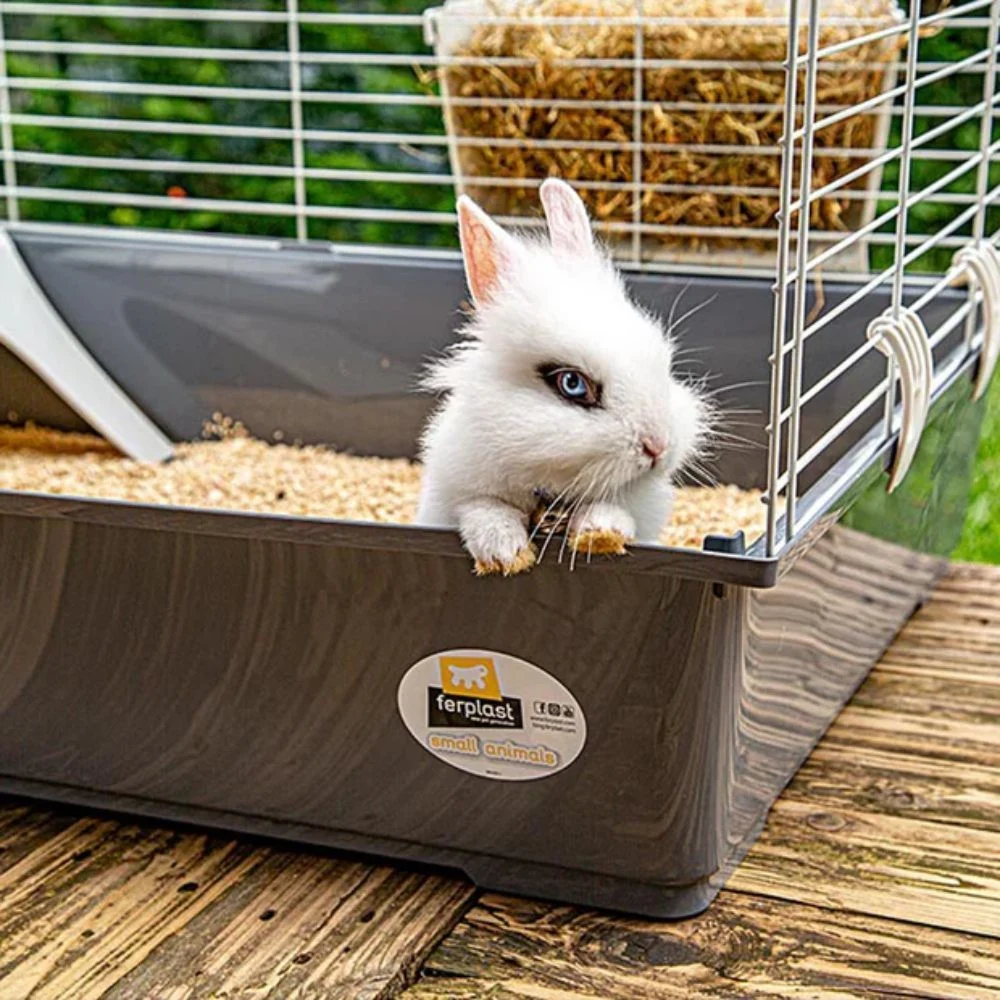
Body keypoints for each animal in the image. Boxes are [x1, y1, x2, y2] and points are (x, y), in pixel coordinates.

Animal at [415, 178, 710, 575]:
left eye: (662, 359)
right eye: (572, 384)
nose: (658, 447)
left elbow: (614, 508)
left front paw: (603, 533)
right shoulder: (454, 488)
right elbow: (483, 508)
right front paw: (503, 552)